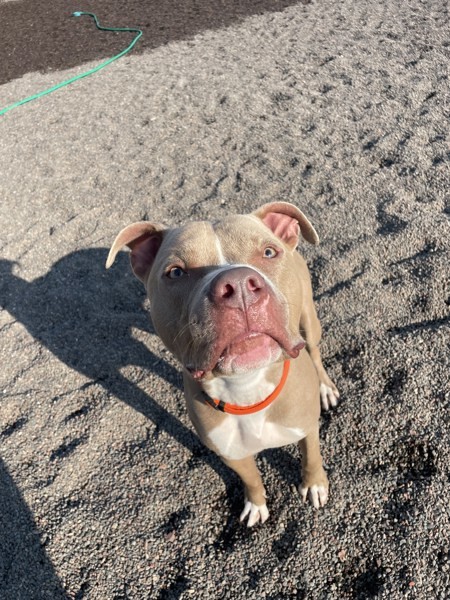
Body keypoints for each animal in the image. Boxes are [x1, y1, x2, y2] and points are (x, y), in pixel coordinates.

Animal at [106, 203, 338, 524]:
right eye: (175, 272)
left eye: (268, 252)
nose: (238, 285)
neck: (246, 387)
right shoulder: (230, 454)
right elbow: (251, 478)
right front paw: (256, 504)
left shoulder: (306, 427)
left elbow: (312, 456)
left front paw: (314, 484)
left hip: (308, 320)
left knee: (314, 350)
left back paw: (325, 388)